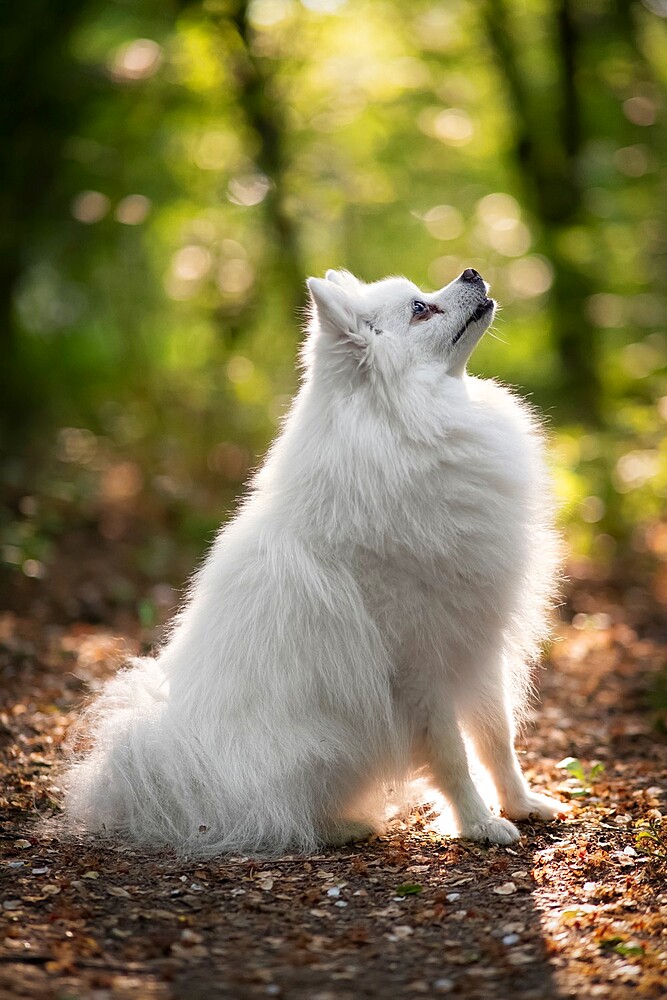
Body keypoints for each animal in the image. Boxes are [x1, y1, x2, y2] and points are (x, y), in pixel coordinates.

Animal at [66, 270, 564, 856]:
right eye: (420, 309)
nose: (470, 272)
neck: (410, 424)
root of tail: (173, 771)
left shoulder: (477, 642)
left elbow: (496, 738)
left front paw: (521, 804)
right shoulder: (419, 664)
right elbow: (452, 754)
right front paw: (480, 824)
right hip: (320, 749)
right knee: (282, 817)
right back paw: (346, 826)